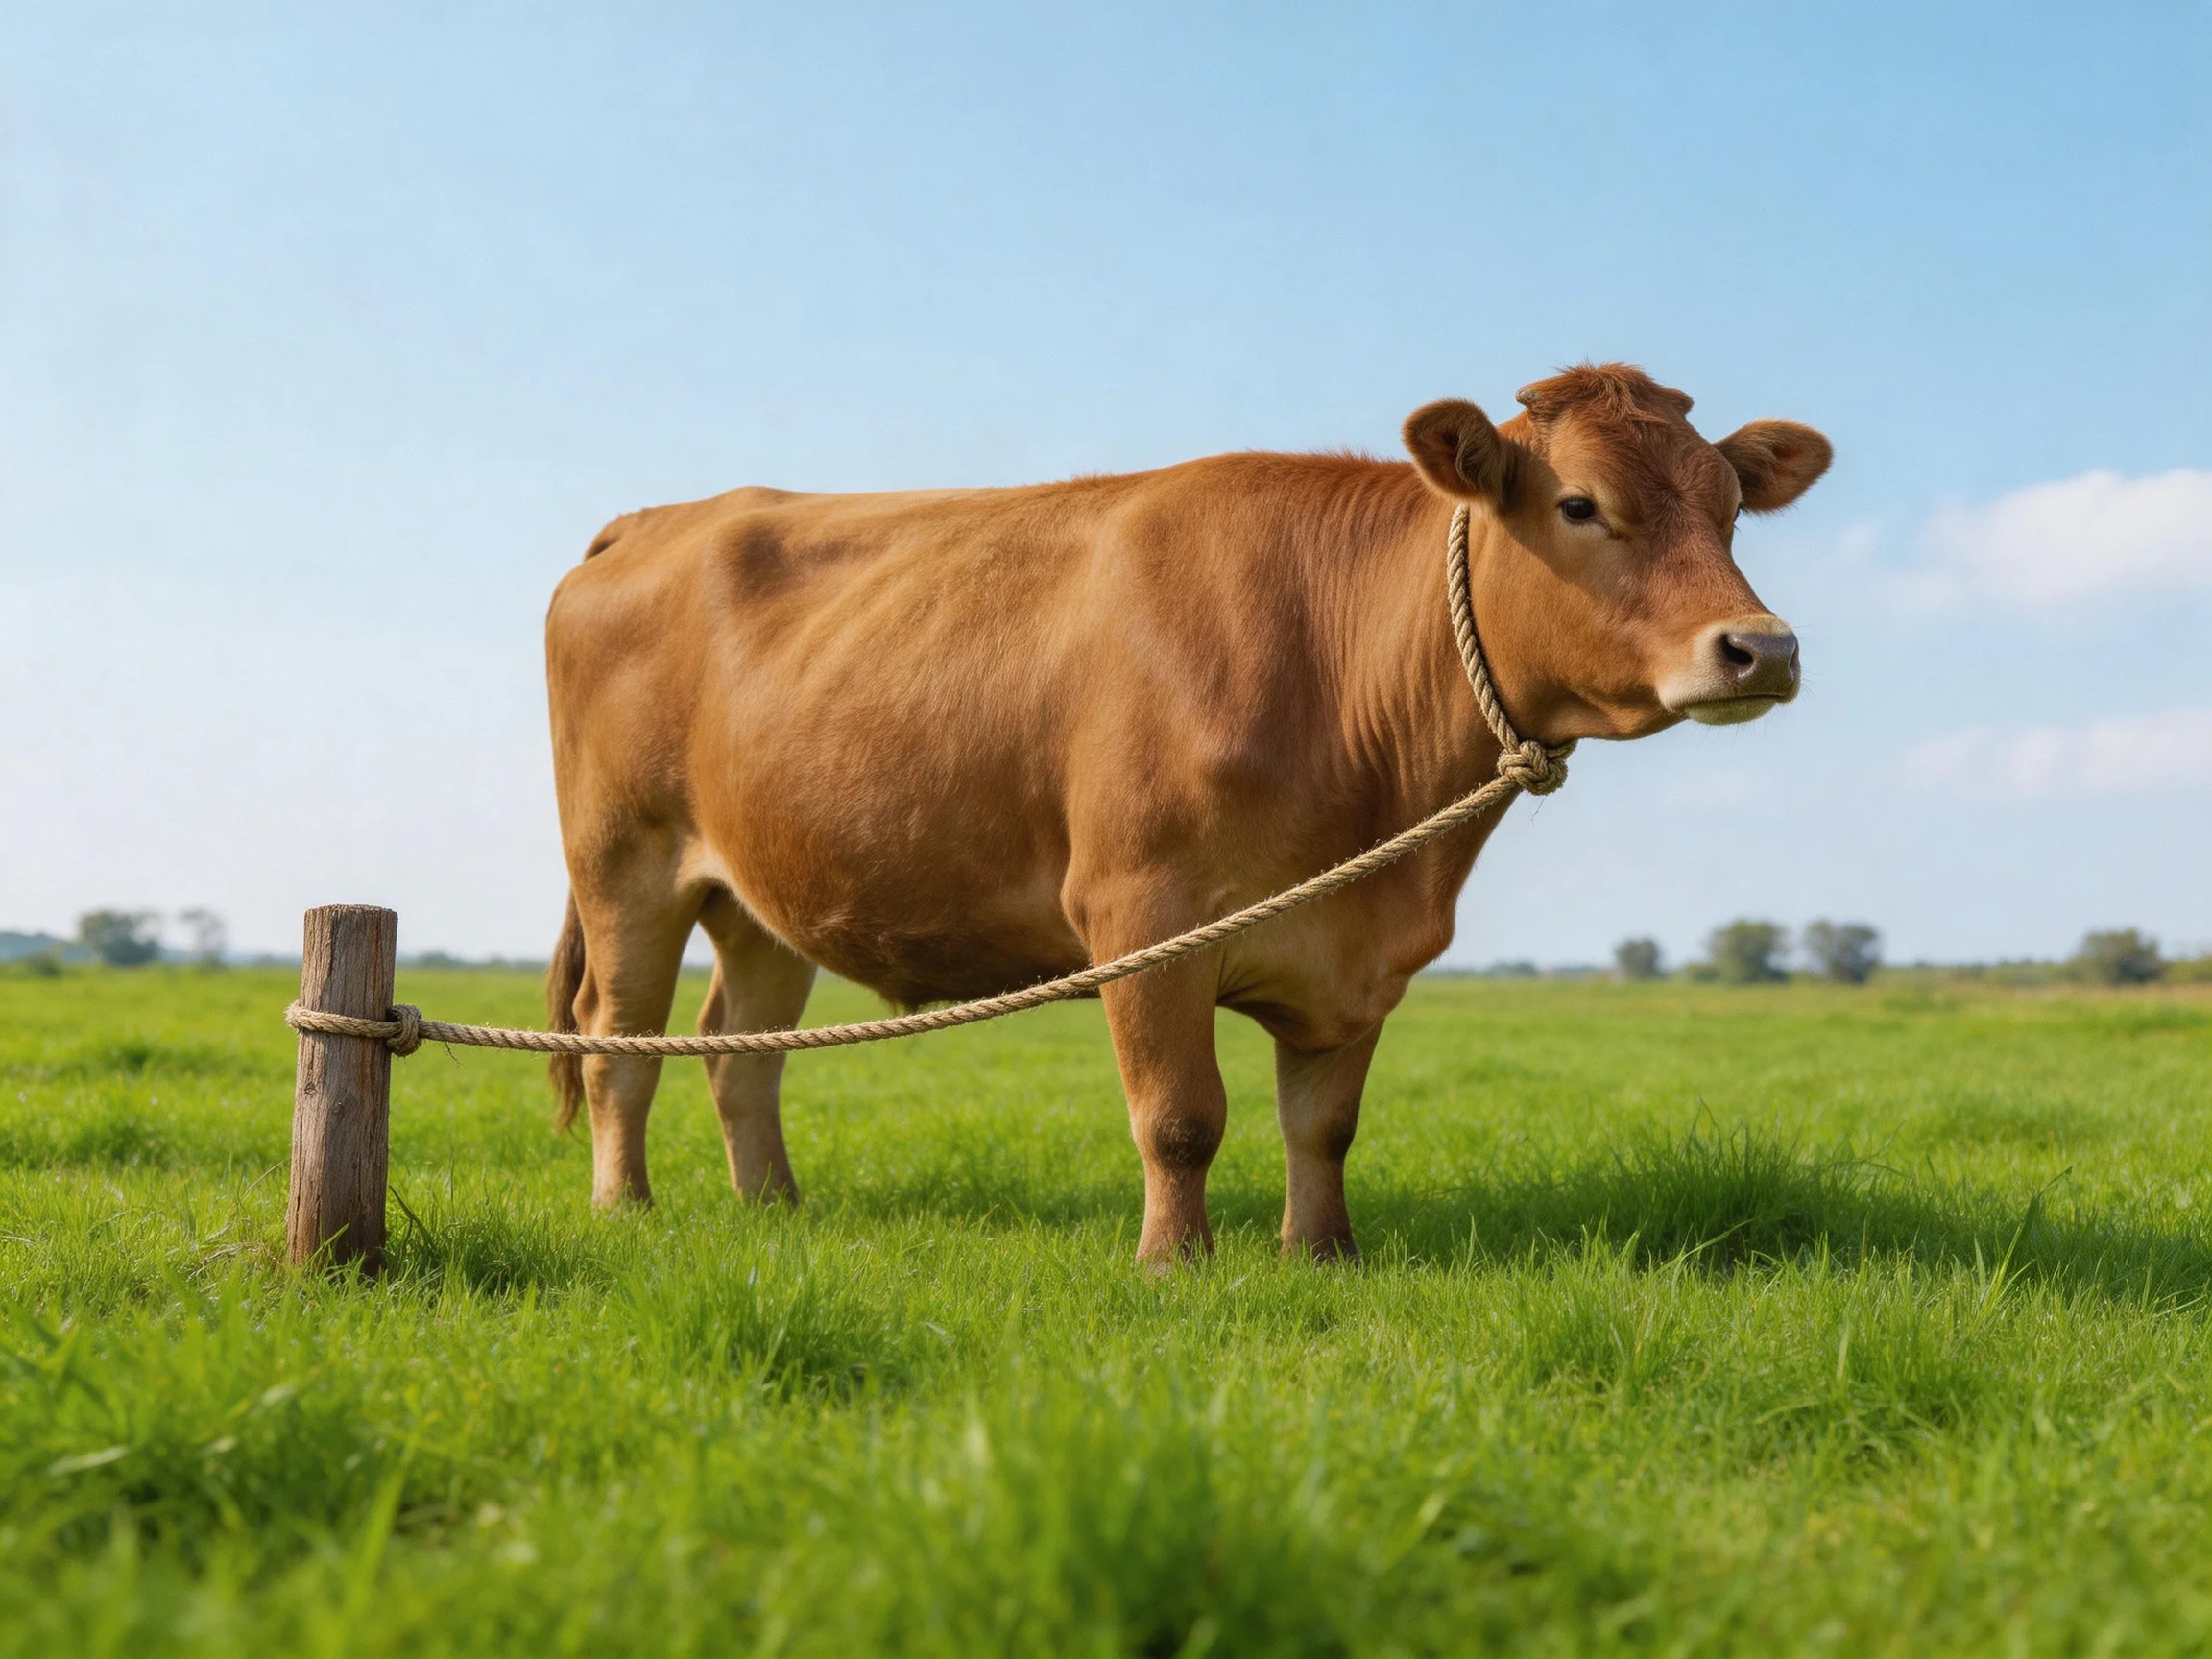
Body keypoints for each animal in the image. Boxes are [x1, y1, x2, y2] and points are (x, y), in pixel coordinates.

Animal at [543, 363, 1831, 1264]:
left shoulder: (1360, 950)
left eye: (1729, 509)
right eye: (1578, 504)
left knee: (737, 1048)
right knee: (617, 1040)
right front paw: (1175, 1263)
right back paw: (624, 1209)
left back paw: (775, 1210)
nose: (1761, 647)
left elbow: (1322, 1124)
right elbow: (1180, 1115)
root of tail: (660, 517)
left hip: (765, 889)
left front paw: (1323, 1256)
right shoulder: (1141, 912)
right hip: (625, 863)